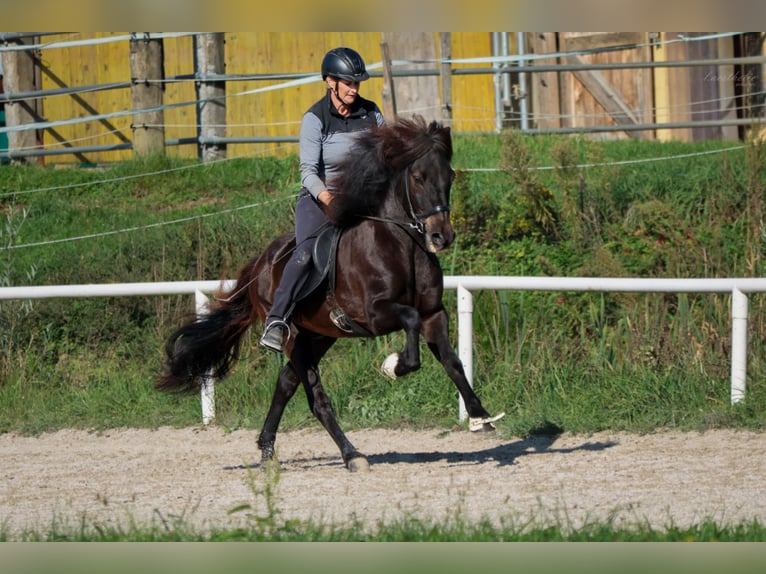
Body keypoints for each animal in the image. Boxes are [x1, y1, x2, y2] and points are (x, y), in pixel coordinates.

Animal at [156, 116, 504, 472]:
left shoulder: (434, 314)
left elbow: (453, 362)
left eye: (450, 175)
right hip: (293, 334)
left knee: (286, 382)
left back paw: (267, 450)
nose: (441, 236)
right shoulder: (376, 314)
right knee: (315, 397)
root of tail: (261, 264)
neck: (401, 246)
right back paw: (351, 454)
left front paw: (480, 417)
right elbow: (409, 321)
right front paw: (394, 366)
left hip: (320, 335)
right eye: (418, 178)